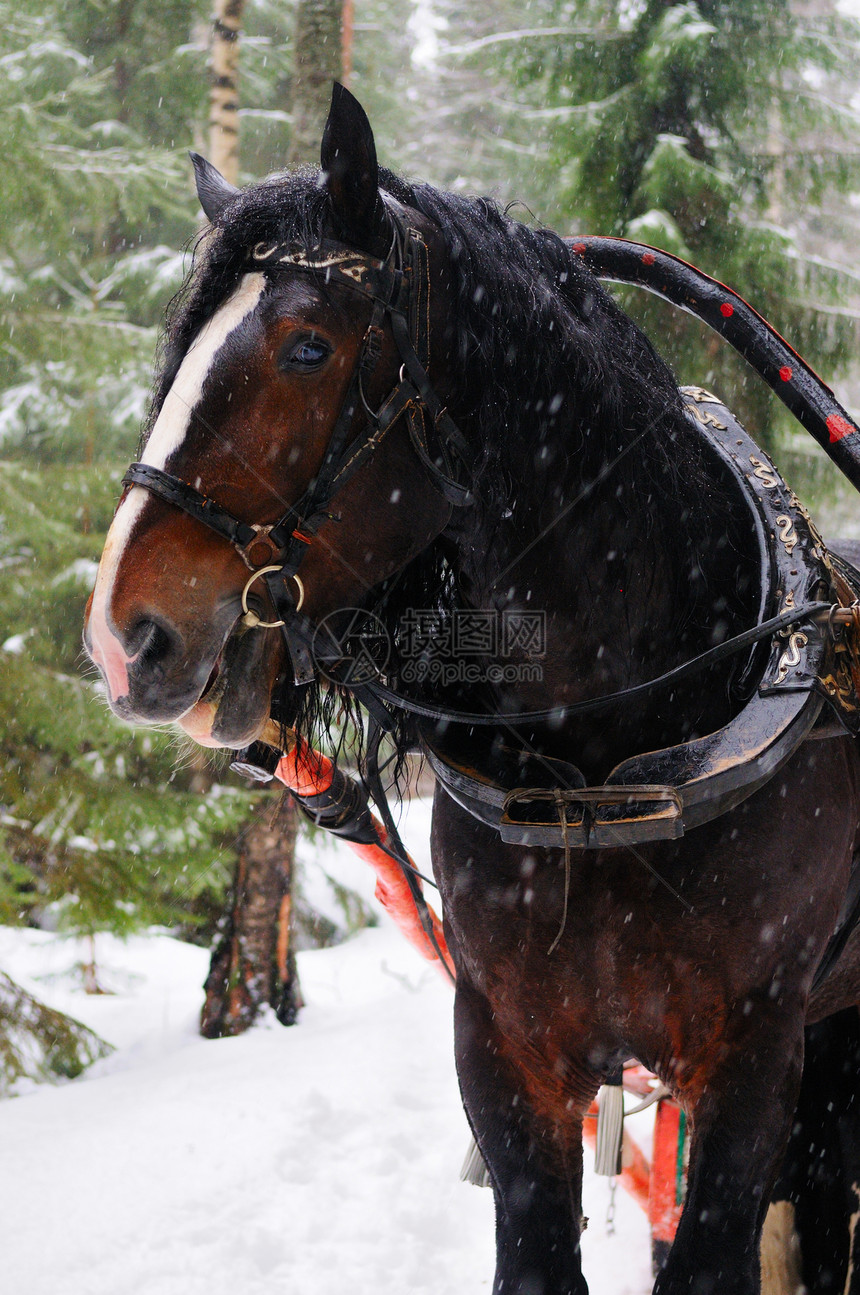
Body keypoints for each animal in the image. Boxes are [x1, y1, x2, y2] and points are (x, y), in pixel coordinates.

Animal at [82, 86, 860, 1289]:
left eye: (308, 346)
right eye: (183, 347)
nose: (125, 637)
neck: (608, 761)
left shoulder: (752, 1056)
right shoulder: (503, 1049)